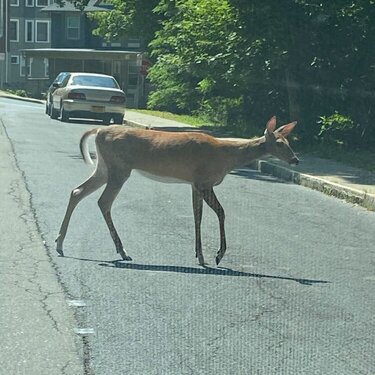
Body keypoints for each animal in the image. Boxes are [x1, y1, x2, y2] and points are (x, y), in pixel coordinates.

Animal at [55, 116, 300, 266]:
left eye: (289, 141)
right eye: (279, 143)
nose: (296, 160)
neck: (226, 156)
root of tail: (99, 130)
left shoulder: (194, 183)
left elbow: (197, 216)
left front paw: (200, 255)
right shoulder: (204, 180)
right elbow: (220, 212)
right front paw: (218, 255)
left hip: (105, 167)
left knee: (77, 191)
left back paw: (60, 244)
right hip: (119, 168)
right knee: (103, 201)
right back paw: (122, 251)